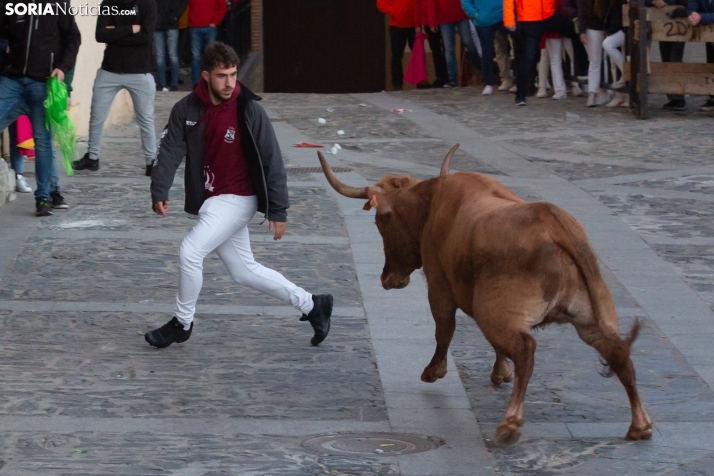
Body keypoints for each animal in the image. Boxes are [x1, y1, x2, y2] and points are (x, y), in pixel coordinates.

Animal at [318, 145, 652, 446]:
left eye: (381, 222)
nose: (387, 278)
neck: (434, 204)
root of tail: (553, 222)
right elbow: (491, 345)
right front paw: (500, 373)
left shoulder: (440, 286)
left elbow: (444, 329)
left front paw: (434, 371)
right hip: (590, 316)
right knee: (618, 353)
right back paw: (640, 425)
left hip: (498, 311)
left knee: (526, 350)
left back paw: (510, 423)